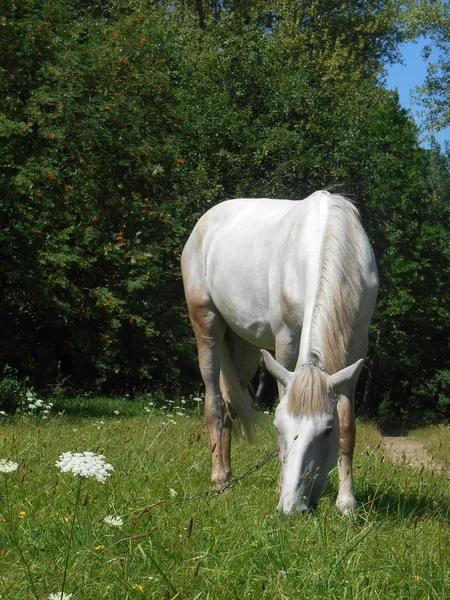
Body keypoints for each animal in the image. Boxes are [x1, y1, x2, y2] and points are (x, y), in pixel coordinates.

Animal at [181, 190, 378, 512]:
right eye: (277, 427)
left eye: (327, 430)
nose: (292, 507)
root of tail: (204, 223)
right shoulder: (286, 340)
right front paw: (278, 486)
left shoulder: (356, 346)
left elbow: (348, 425)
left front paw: (347, 502)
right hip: (205, 323)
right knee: (215, 403)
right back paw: (219, 479)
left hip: (244, 348)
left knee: (230, 406)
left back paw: (229, 477)